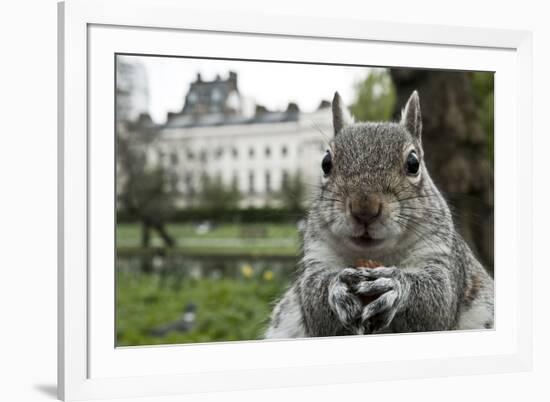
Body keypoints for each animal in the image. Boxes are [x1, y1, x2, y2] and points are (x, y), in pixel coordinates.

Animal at [266, 89, 494, 338]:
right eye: (326, 163)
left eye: (413, 163)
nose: (364, 208)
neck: (378, 255)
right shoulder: (317, 256)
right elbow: (314, 305)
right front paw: (337, 286)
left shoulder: (442, 256)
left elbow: (438, 301)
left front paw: (395, 285)